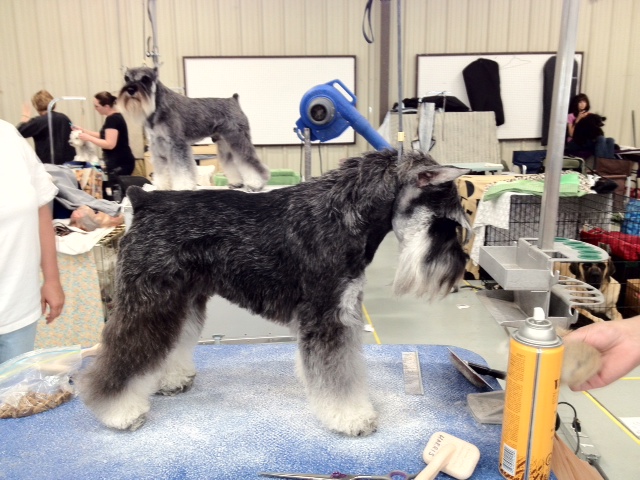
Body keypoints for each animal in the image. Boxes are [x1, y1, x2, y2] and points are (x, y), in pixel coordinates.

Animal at [79, 149, 470, 436]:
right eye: (446, 223)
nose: (458, 271)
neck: (345, 213)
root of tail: (142, 201)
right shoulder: (327, 316)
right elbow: (337, 376)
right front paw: (353, 418)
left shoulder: (341, 312)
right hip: (149, 301)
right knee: (122, 352)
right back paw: (118, 412)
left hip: (181, 300)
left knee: (170, 341)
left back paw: (171, 379)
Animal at [116, 67, 268, 191]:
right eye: (126, 78)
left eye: (145, 79)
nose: (130, 90)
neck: (158, 105)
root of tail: (233, 100)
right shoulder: (157, 145)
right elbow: (162, 168)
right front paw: (162, 186)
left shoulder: (176, 144)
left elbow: (181, 168)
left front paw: (183, 186)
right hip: (225, 143)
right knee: (232, 162)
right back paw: (237, 183)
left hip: (237, 138)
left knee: (249, 161)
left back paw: (256, 184)